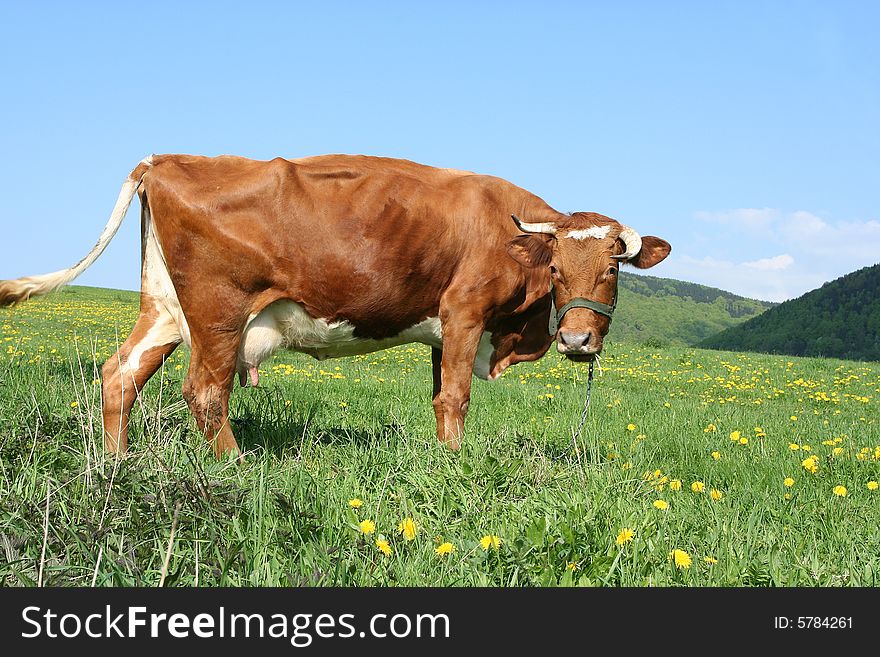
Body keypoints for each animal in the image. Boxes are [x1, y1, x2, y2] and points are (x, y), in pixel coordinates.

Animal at [0, 156, 672, 458]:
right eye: (556, 268)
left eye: (613, 267)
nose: (578, 342)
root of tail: (166, 160)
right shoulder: (464, 312)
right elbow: (456, 396)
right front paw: (456, 467)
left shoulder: (443, 331)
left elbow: (439, 396)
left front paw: (440, 458)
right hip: (218, 310)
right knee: (206, 391)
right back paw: (235, 465)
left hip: (165, 309)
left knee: (121, 373)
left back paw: (117, 462)